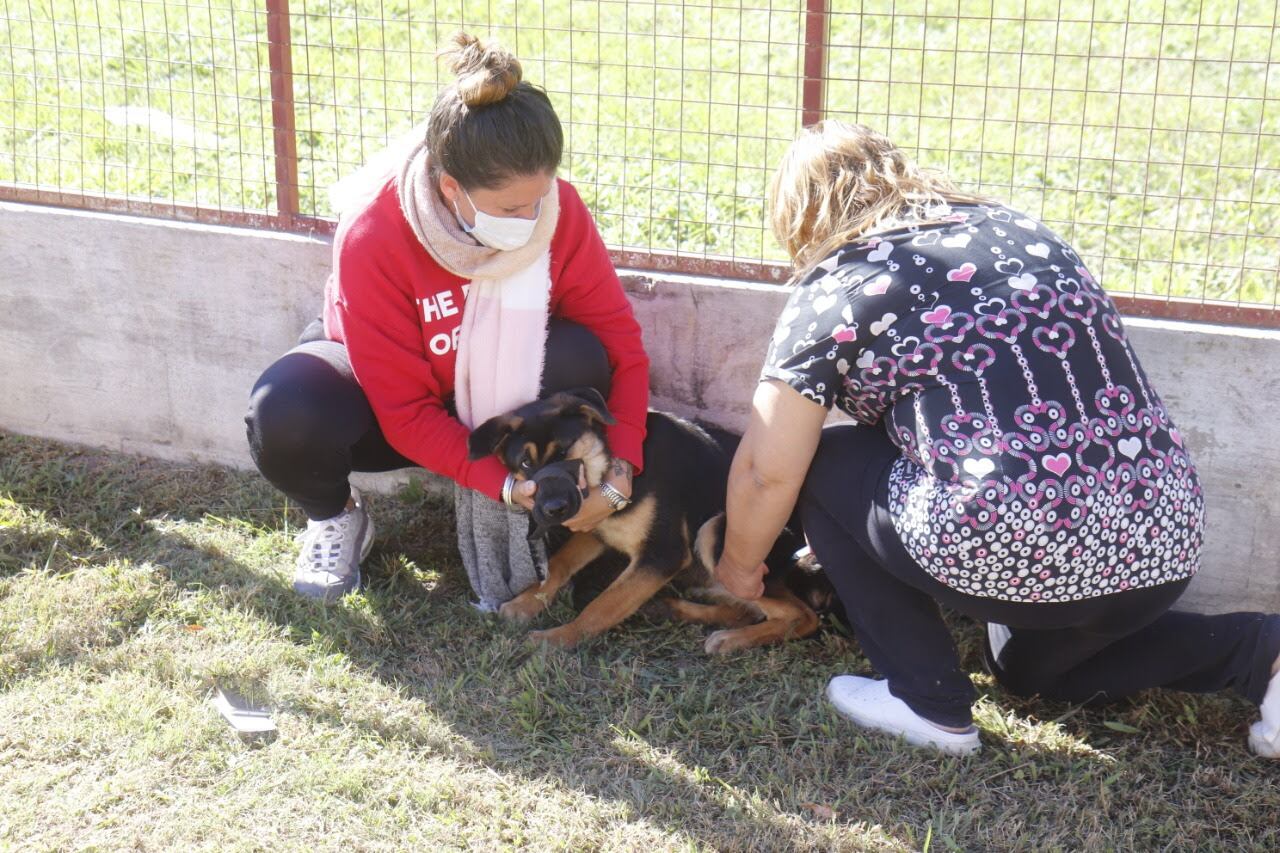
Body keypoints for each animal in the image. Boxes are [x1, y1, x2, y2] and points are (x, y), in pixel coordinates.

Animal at [465, 386, 824, 650]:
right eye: (526, 464)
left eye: (565, 451)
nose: (553, 510)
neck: (609, 466)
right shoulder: (597, 530)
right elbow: (559, 564)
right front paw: (526, 602)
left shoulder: (662, 555)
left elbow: (604, 604)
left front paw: (559, 637)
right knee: (745, 609)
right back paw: (676, 609)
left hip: (717, 531)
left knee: (802, 616)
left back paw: (731, 640)